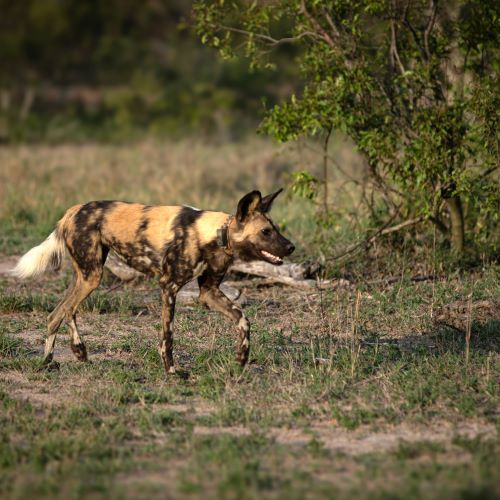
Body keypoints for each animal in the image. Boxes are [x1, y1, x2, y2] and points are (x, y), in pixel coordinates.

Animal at [12, 189, 292, 374]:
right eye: (266, 232)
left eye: (275, 229)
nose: (291, 247)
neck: (212, 234)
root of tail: (73, 210)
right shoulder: (169, 287)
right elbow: (167, 336)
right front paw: (171, 371)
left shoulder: (209, 292)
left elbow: (243, 319)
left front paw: (241, 359)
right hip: (92, 277)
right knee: (64, 311)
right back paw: (58, 358)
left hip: (86, 275)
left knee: (60, 312)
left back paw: (59, 357)